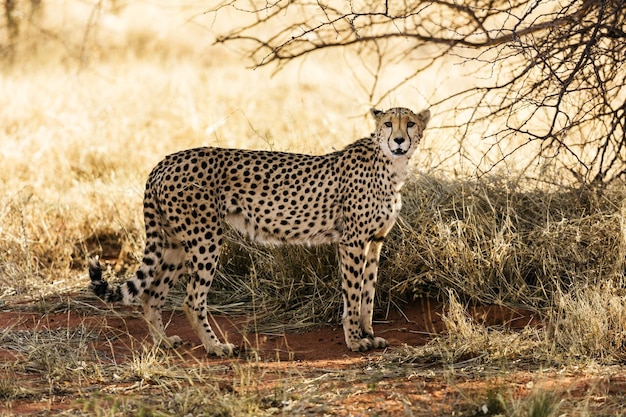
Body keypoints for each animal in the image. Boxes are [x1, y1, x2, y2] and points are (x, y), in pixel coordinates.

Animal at [88, 106, 428, 354]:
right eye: (388, 124)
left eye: (410, 123)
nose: (399, 141)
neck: (391, 166)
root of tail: (166, 160)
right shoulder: (353, 241)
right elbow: (354, 293)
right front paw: (356, 340)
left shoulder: (375, 241)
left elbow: (368, 291)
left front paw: (369, 334)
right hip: (205, 238)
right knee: (190, 300)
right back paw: (216, 347)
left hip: (174, 242)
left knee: (151, 293)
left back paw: (163, 343)